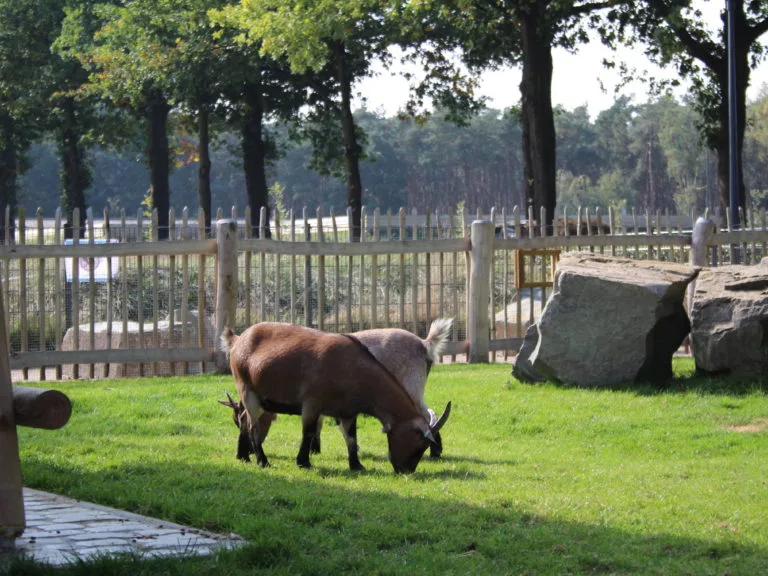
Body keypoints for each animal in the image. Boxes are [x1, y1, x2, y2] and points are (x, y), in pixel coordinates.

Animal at [219, 322, 450, 474]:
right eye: (419, 443)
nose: (406, 470)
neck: (352, 367)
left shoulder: (347, 412)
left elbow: (351, 438)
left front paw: (356, 465)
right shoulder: (312, 402)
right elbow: (309, 431)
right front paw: (304, 461)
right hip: (248, 391)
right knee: (252, 425)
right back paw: (261, 461)